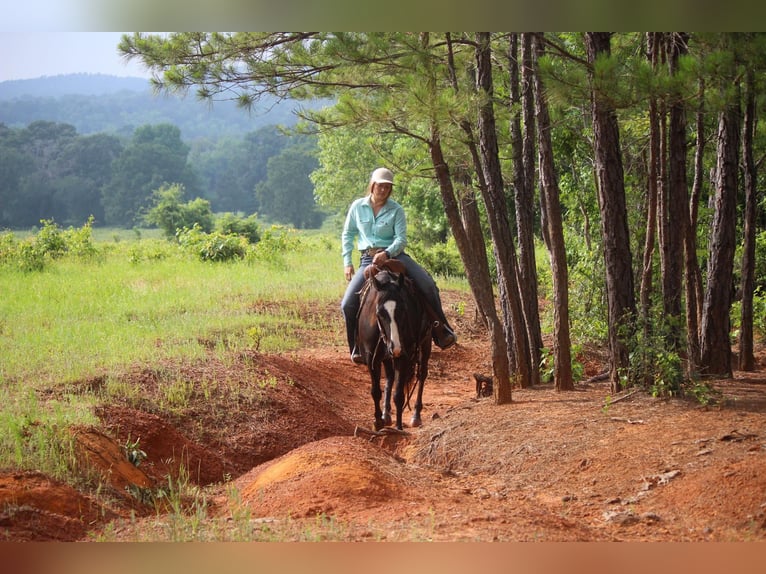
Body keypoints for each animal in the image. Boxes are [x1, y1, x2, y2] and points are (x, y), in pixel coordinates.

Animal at [356, 260, 436, 432]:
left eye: (404, 309)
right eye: (379, 313)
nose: (396, 347)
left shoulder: (404, 356)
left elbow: (398, 394)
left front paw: (399, 426)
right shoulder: (371, 357)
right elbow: (375, 391)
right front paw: (377, 422)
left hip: (425, 344)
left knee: (422, 374)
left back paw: (416, 416)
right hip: (386, 356)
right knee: (390, 377)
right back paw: (386, 415)